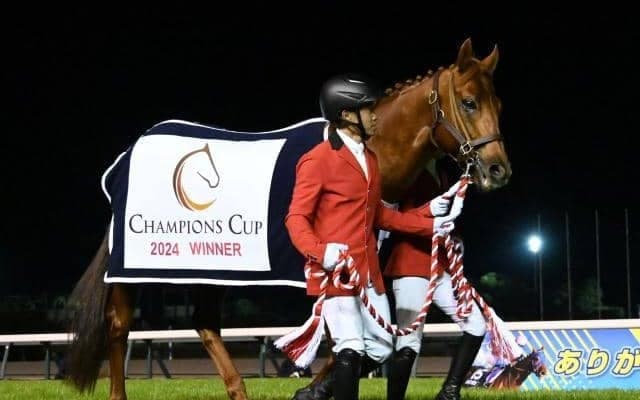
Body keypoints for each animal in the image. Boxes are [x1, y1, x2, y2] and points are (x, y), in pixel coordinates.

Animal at [64, 37, 511, 400]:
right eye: (469, 102)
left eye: (498, 104)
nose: (498, 170)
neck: (364, 151)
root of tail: (129, 155)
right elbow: (346, 342)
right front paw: (313, 388)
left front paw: (314, 387)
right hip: (134, 264)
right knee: (119, 326)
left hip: (215, 268)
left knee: (204, 322)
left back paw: (238, 389)